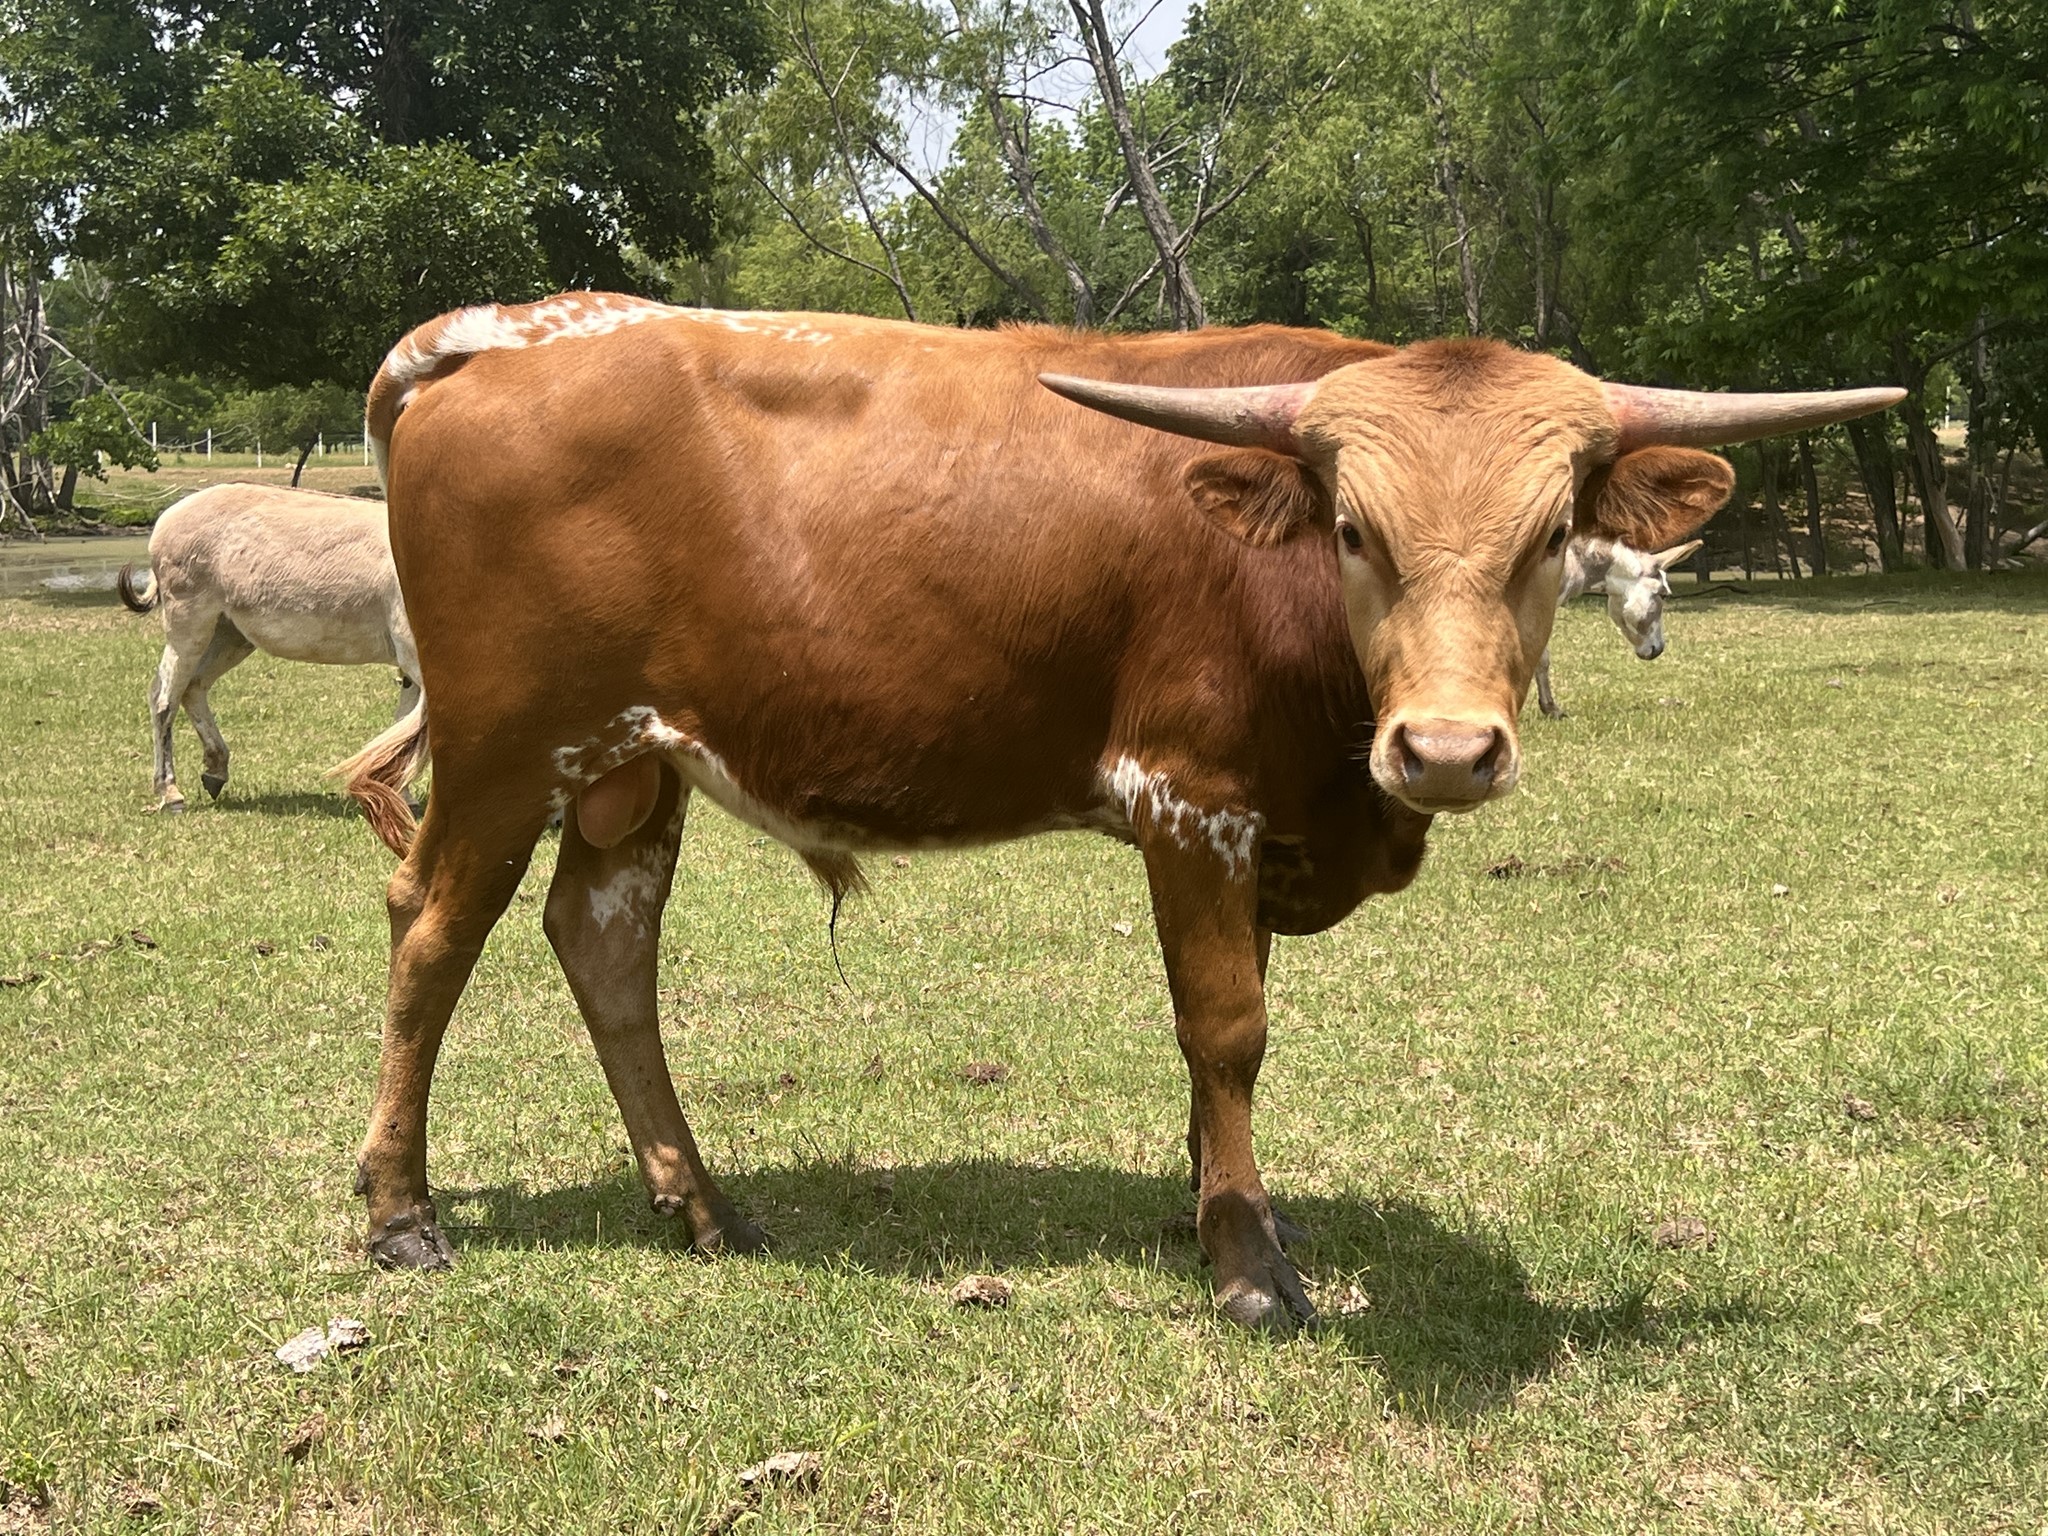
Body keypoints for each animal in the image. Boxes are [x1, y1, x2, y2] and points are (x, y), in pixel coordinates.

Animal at [119, 483, 424, 813]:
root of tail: (169, 515)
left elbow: (406, 727)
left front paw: (400, 795)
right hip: (189, 627)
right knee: (164, 699)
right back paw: (170, 793)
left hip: (230, 635)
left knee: (193, 687)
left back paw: (215, 770)